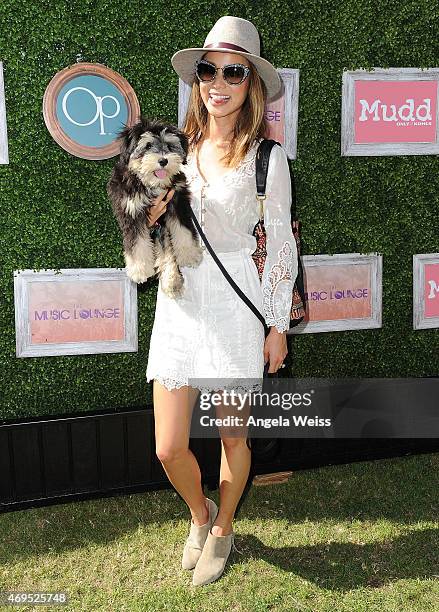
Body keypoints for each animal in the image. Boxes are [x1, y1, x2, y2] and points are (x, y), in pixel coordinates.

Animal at [107, 117, 204, 298]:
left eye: (170, 146)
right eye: (148, 146)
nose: (163, 160)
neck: (152, 184)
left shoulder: (177, 200)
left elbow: (184, 230)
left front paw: (189, 254)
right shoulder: (131, 210)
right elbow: (136, 242)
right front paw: (139, 271)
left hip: (162, 229)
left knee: (167, 251)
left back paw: (172, 281)